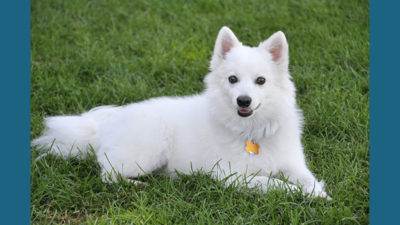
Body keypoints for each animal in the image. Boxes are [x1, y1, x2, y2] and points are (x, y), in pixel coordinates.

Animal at [33, 25, 328, 199]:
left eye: (261, 80)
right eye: (232, 79)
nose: (243, 101)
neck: (252, 131)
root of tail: (101, 128)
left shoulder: (293, 164)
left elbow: (309, 179)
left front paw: (318, 193)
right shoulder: (233, 177)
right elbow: (276, 184)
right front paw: (300, 193)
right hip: (148, 150)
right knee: (107, 175)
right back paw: (137, 185)